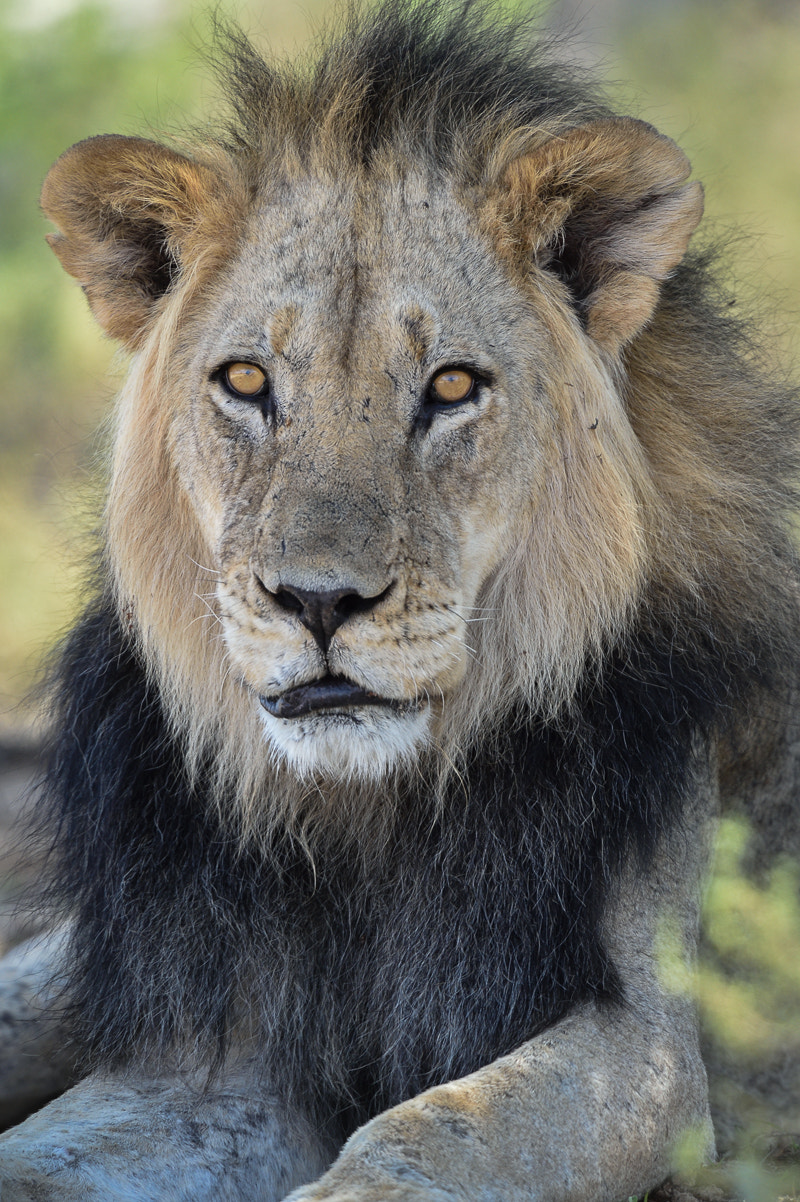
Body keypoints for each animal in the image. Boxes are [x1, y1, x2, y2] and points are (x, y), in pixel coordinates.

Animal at [1, 2, 797, 1202]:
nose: (318, 601)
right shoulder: (207, 1048)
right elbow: (52, 1159)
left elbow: (423, 1136)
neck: (364, 817)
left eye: (452, 386)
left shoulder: (651, 1054)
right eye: (246, 382)